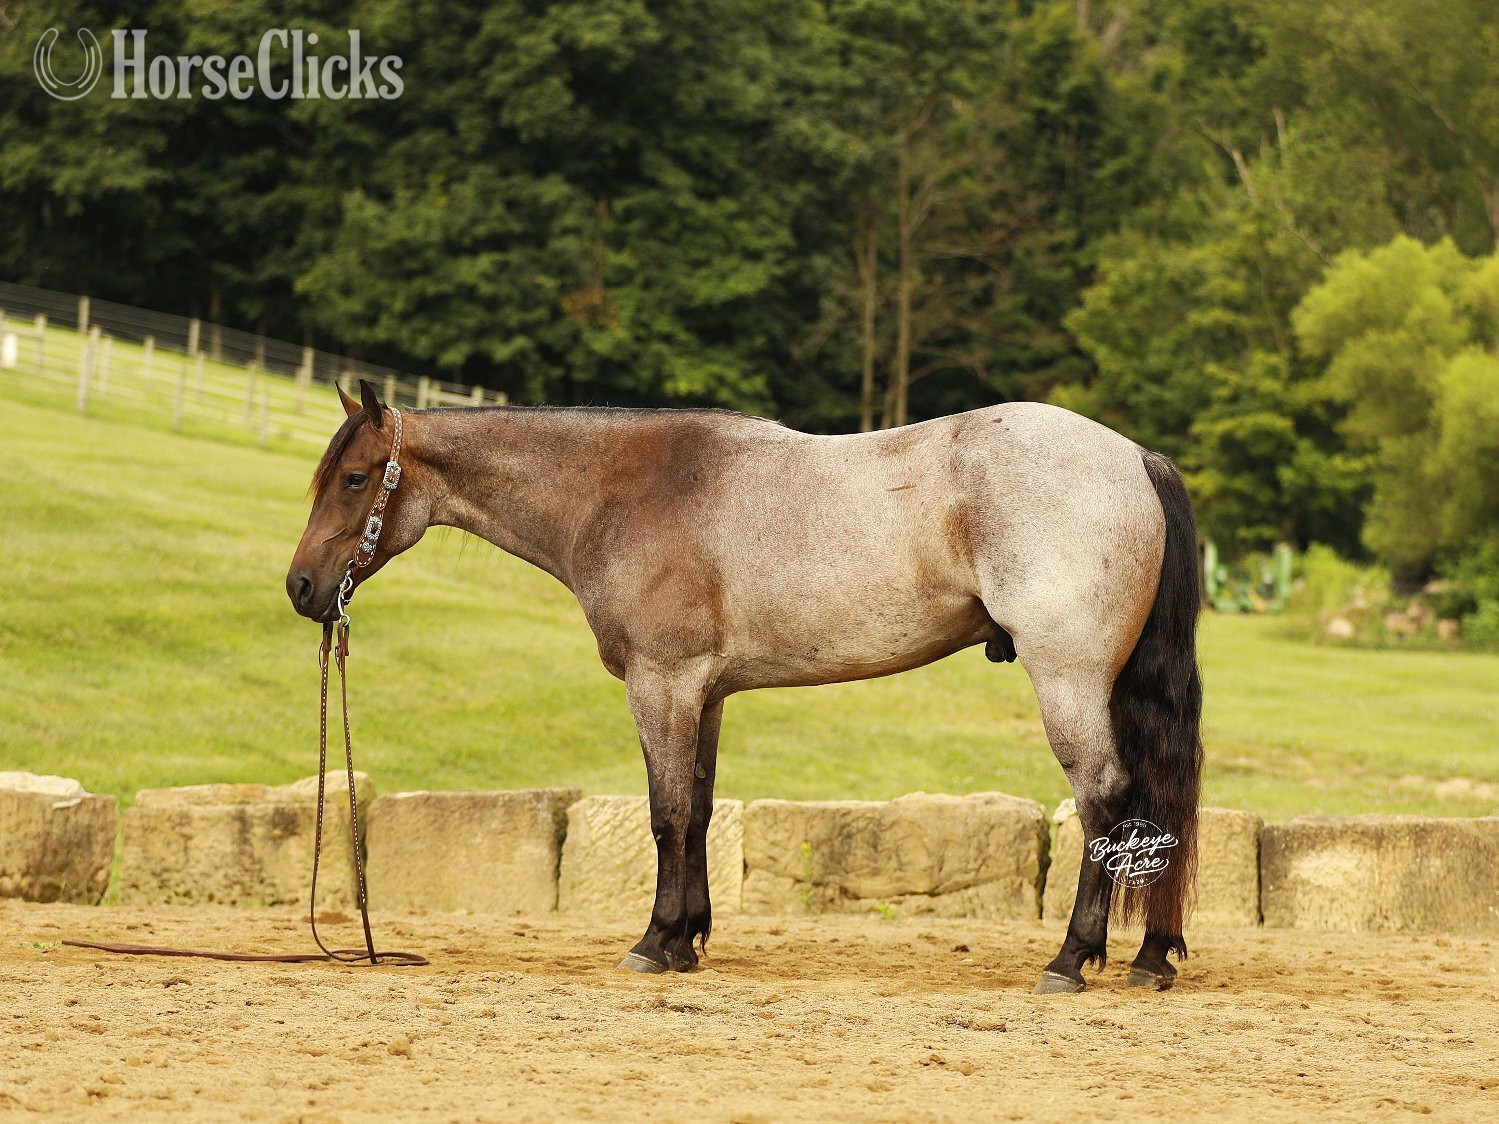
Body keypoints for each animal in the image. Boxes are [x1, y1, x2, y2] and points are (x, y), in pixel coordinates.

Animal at [286, 380, 1203, 994]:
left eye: (356, 478)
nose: (300, 589)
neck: (621, 491)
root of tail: (1134, 457)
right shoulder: (707, 694)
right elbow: (697, 807)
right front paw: (687, 940)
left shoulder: (661, 683)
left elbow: (666, 813)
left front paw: (653, 943)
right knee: (1156, 796)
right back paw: (1150, 957)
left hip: (1069, 681)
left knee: (1104, 798)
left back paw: (1070, 959)